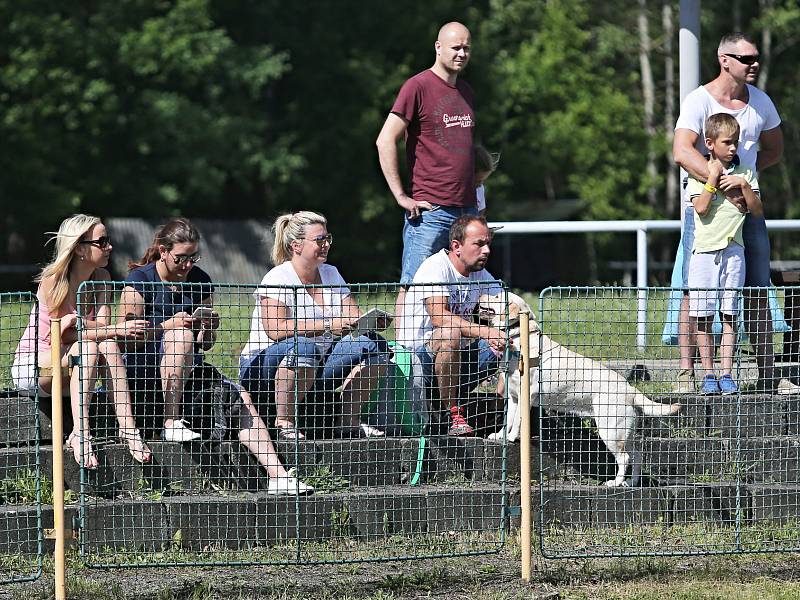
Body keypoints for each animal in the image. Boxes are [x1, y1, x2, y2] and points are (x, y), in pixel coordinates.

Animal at [478, 292, 680, 488]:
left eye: (497, 297)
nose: (480, 296)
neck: (519, 337)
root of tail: (630, 389)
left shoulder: (525, 395)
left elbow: (517, 422)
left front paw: (512, 438)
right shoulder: (513, 397)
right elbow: (508, 420)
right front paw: (500, 436)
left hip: (610, 430)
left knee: (625, 457)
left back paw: (615, 482)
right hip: (623, 431)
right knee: (636, 455)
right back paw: (631, 482)